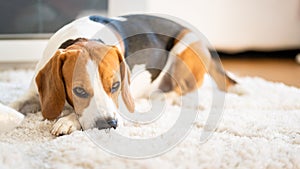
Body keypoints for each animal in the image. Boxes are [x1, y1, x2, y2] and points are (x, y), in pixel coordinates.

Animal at [9, 14, 237, 136]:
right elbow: (15, 103)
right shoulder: (35, 93)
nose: (109, 124)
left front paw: (67, 120)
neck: (85, 38)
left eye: (116, 86)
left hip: (184, 50)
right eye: (79, 91)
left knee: (180, 91)